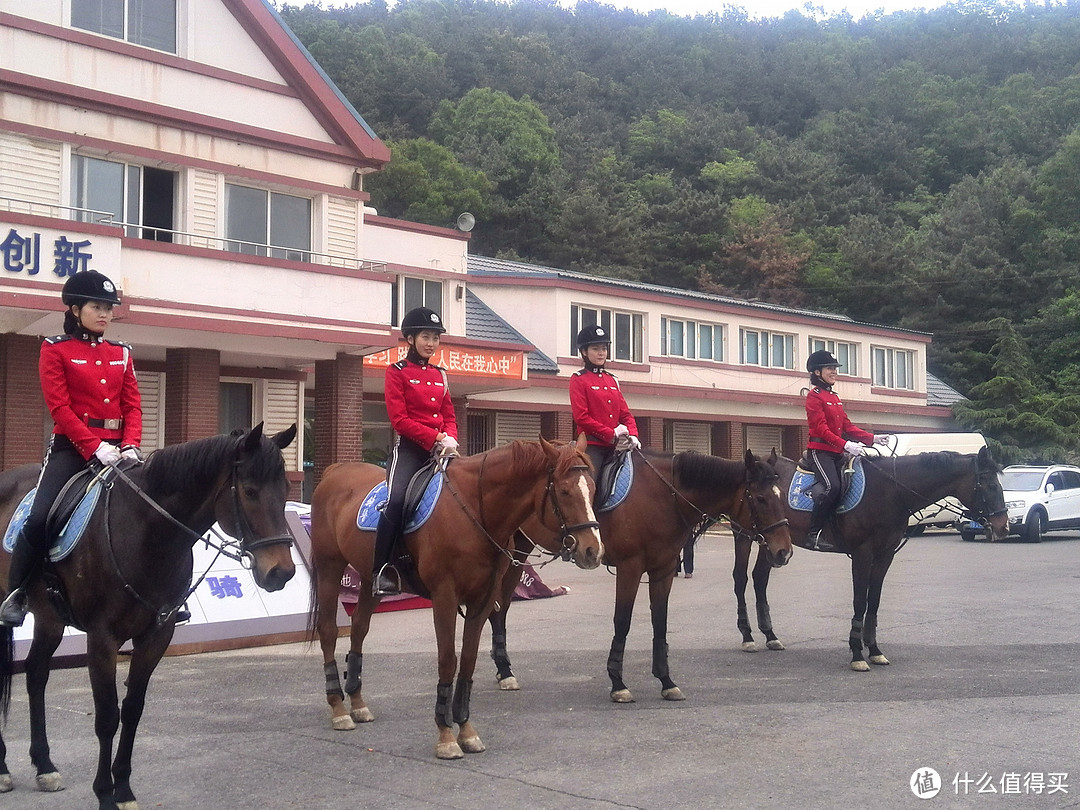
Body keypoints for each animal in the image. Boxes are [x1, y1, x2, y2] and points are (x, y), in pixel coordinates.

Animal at [0, 425, 298, 810]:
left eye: (286, 489)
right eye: (249, 491)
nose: (281, 572)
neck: (148, 533)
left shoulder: (157, 635)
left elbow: (133, 709)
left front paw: (124, 790)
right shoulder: (102, 639)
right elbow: (107, 716)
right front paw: (105, 794)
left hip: (49, 618)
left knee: (36, 673)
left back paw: (44, 765)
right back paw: (5, 769)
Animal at [308, 438, 604, 760]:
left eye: (592, 488)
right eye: (564, 492)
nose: (593, 551)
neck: (474, 510)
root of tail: (336, 471)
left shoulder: (481, 600)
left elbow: (469, 661)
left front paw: (466, 730)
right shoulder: (445, 597)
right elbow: (448, 660)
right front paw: (446, 736)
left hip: (369, 578)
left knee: (360, 627)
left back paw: (358, 703)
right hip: (329, 567)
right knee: (328, 631)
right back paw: (339, 708)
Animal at [490, 451, 794, 704]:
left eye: (781, 497)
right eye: (761, 499)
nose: (784, 551)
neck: (663, 497)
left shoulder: (664, 570)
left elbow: (660, 621)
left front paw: (666, 680)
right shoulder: (630, 567)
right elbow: (622, 621)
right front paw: (618, 682)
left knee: (499, 608)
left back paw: (503, 668)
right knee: (499, 607)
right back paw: (505, 669)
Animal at [734, 447, 1010, 669]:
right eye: (990, 486)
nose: (1003, 526)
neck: (891, 490)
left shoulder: (885, 555)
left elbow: (874, 601)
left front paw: (874, 650)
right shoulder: (862, 554)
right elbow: (860, 601)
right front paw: (857, 654)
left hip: (772, 542)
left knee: (759, 578)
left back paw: (770, 635)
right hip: (745, 536)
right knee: (741, 579)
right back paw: (748, 636)